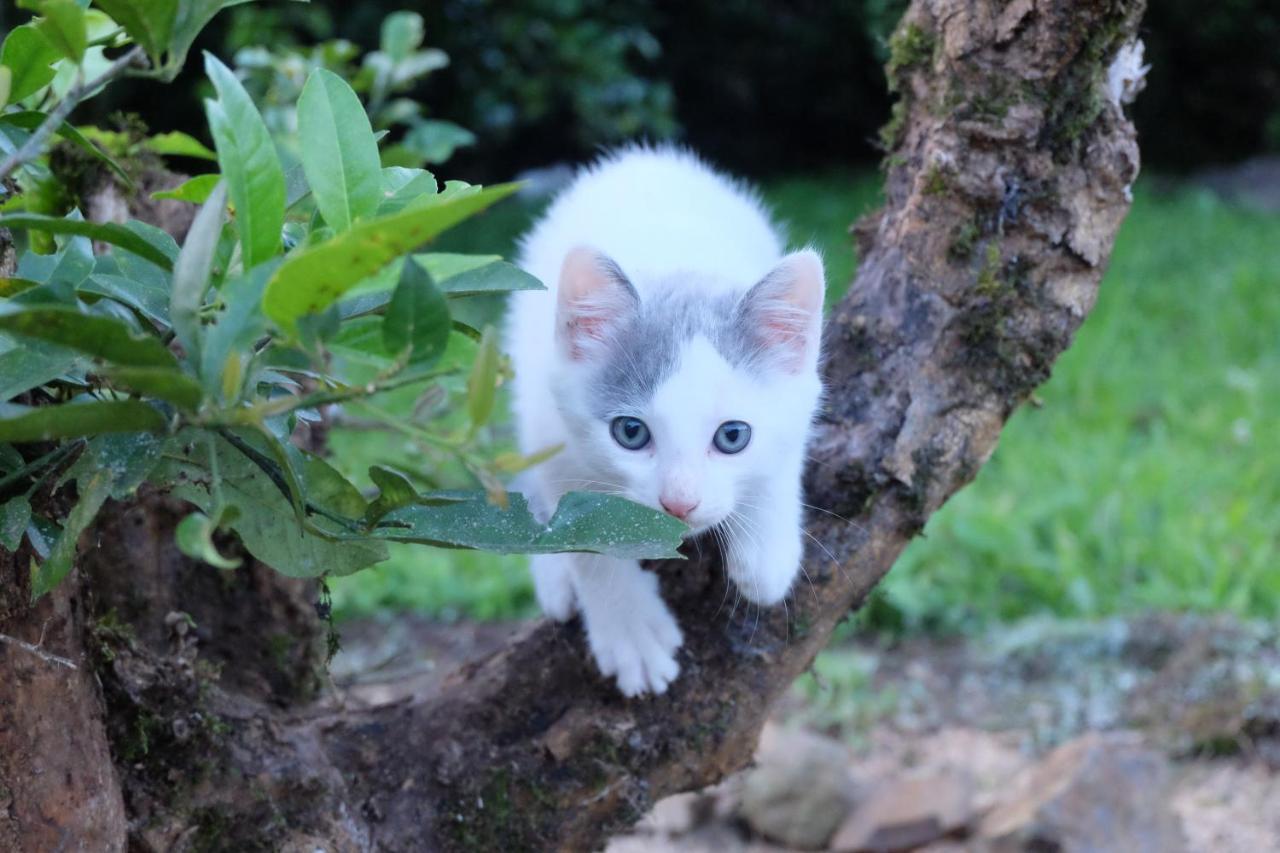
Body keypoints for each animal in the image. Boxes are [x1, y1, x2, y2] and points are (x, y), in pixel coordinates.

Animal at [504, 142, 824, 696]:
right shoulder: (552, 425)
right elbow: (583, 530)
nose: (679, 503)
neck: (679, 259)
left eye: (733, 436)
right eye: (631, 433)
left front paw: (767, 553)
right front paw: (630, 632)